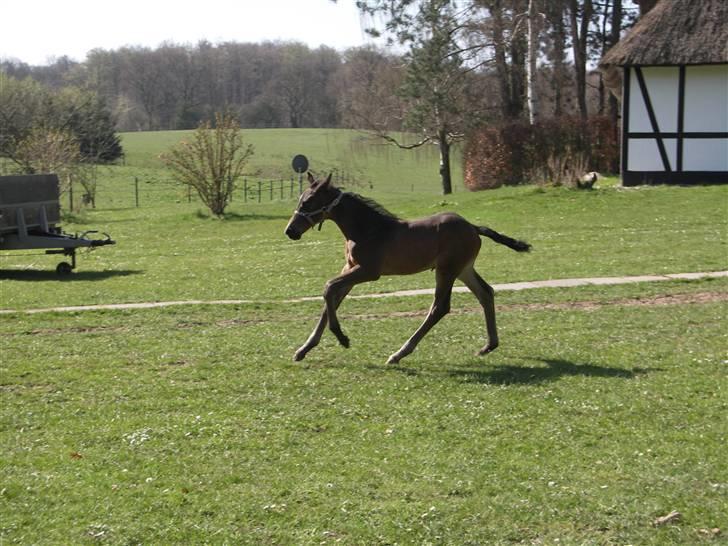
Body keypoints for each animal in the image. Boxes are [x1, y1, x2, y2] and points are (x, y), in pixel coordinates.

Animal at [284, 173, 531, 364]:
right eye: (300, 200)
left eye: (308, 202)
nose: (290, 231)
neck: (367, 229)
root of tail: (473, 227)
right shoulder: (350, 269)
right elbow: (331, 300)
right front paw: (304, 350)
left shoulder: (368, 272)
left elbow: (328, 288)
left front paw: (342, 338)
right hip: (463, 269)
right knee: (485, 293)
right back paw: (489, 345)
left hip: (446, 270)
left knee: (440, 308)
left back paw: (399, 353)